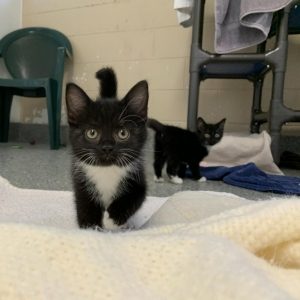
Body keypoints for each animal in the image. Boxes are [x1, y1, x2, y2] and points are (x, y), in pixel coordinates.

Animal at [66, 68, 149, 231]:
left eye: (123, 133)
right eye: (92, 133)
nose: (107, 147)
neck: (106, 170)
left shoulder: (138, 178)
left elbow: (133, 197)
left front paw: (112, 219)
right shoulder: (81, 181)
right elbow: (84, 204)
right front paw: (90, 227)